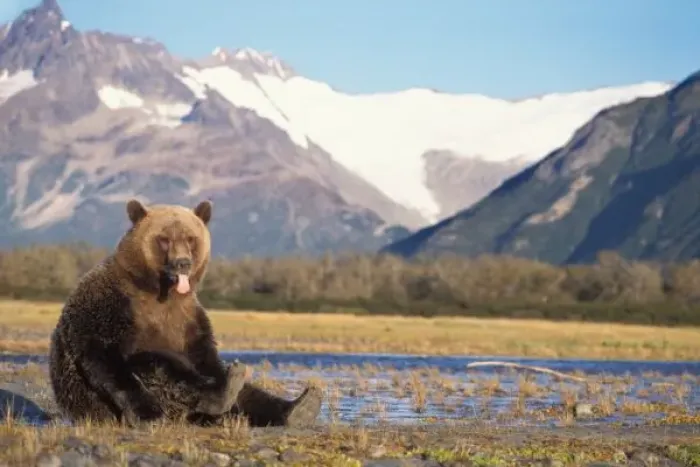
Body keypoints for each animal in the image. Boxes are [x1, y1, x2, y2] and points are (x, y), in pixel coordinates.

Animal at [48, 199, 323, 428]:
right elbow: (104, 355)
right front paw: (147, 414)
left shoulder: (189, 318)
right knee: (160, 368)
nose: (183, 263)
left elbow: (205, 356)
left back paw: (301, 406)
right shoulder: (114, 305)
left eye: (191, 238)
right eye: (164, 239)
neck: (161, 292)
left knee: (248, 392)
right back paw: (221, 396)